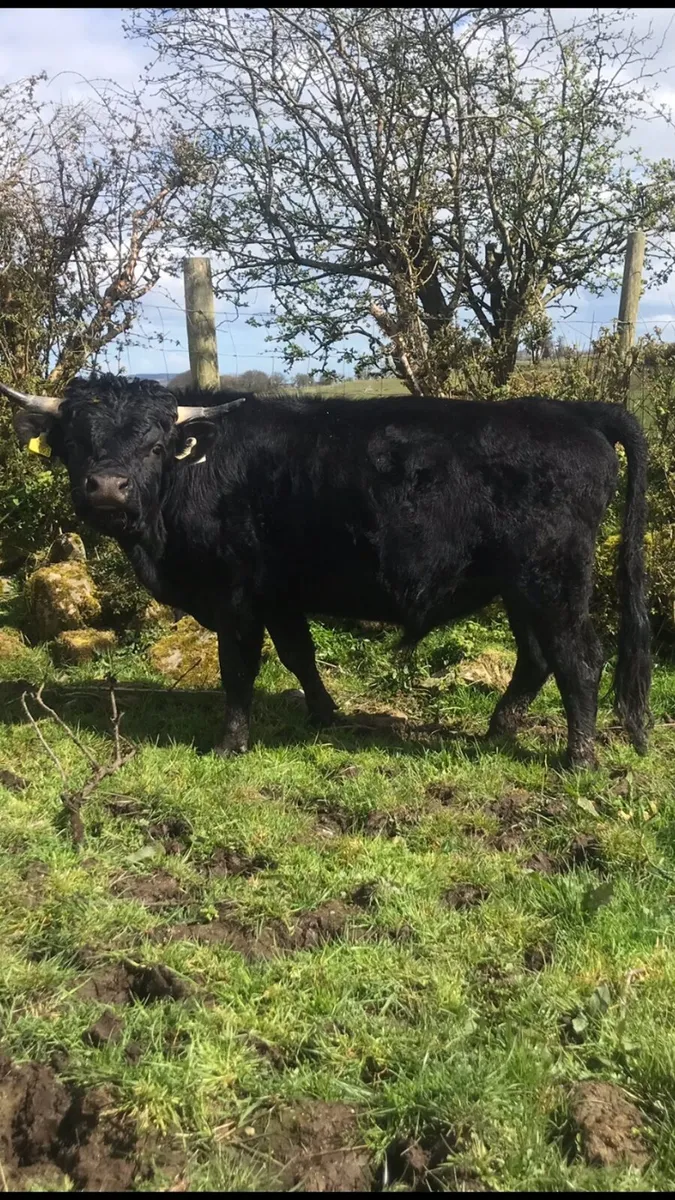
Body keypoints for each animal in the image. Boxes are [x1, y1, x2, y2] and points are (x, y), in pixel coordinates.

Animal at [0, 373, 651, 769]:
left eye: (156, 444)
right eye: (75, 441)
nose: (109, 487)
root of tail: (571, 411)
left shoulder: (235, 598)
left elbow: (239, 670)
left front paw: (230, 743)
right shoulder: (279, 594)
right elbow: (298, 654)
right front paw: (324, 715)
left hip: (554, 580)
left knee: (579, 659)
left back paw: (578, 758)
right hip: (520, 587)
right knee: (537, 658)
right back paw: (497, 731)